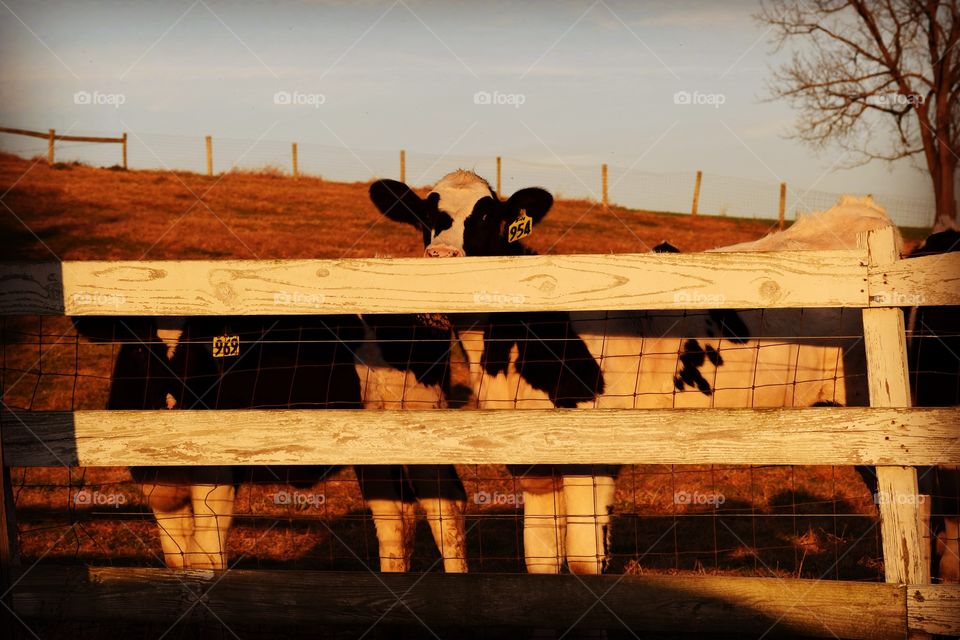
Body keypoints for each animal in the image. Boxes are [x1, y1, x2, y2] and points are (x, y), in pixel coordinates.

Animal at [370, 171, 896, 574]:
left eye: (488, 219)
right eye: (425, 218)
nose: (440, 262)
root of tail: (865, 214)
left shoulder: (592, 453)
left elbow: (585, 559)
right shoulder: (535, 460)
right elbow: (541, 558)